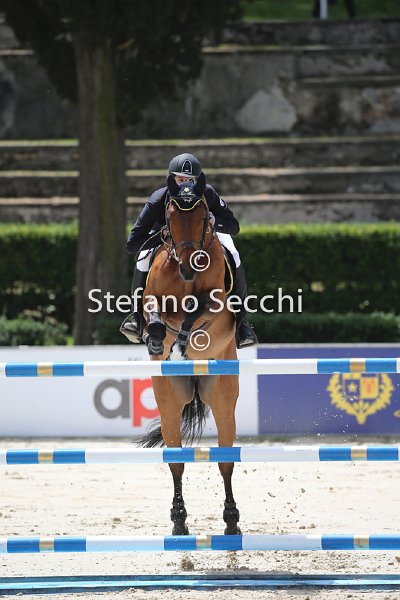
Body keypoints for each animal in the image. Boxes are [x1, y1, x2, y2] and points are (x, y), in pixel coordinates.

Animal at [139, 173, 241, 536]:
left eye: (202, 216)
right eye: (169, 217)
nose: (187, 268)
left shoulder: (216, 301)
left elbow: (195, 311)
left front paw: (182, 343)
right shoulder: (153, 299)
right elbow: (157, 316)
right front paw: (158, 341)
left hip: (223, 398)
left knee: (226, 461)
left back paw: (231, 520)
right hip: (170, 401)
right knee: (176, 462)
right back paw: (179, 520)